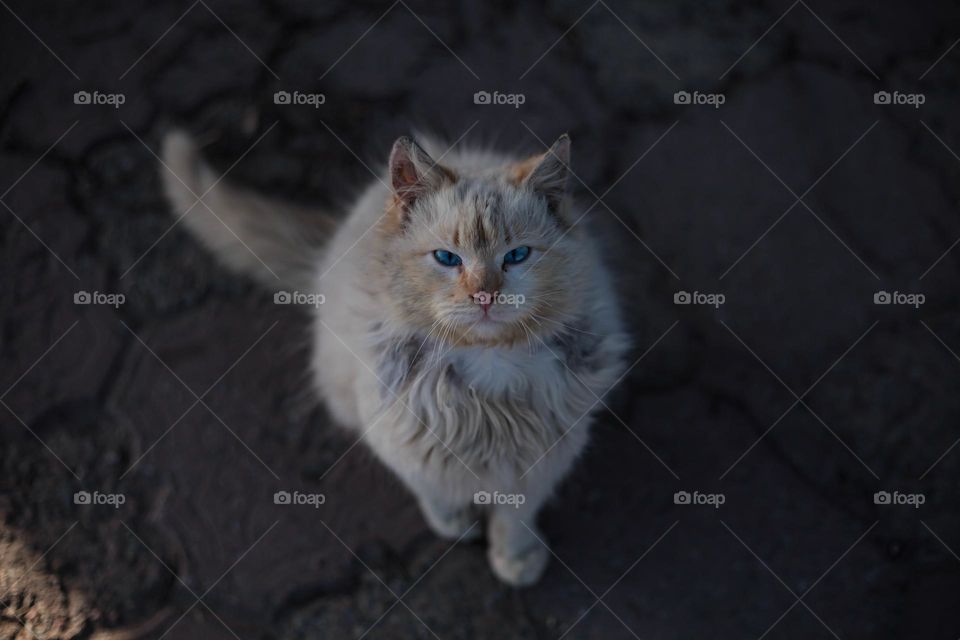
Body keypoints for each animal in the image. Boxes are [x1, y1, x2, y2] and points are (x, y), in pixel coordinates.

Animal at [159, 129, 632, 584]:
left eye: (516, 256)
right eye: (446, 258)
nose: (485, 296)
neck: (487, 382)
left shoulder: (540, 460)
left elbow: (515, 517)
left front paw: (516, 560)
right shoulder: (402, 443)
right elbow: (435, 493)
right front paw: (456, 524)